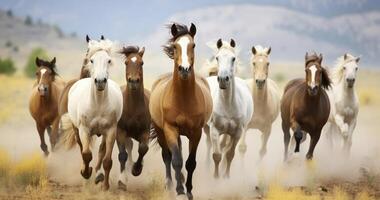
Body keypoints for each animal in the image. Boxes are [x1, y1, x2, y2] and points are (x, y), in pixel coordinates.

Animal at [60, 36, 122, 190]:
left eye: (109, 60)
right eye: (92, 60)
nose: (100, 81)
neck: (98, 103)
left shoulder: (111, 131)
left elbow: (107, 160)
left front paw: (105, 186)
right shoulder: (85, 130)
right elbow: (87, 154)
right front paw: (86, 173)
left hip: (104, 134)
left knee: (101, 150)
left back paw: (99, 175)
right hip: (77, 130)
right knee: (82, 148)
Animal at [149, 23, 214, 198]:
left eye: (193, 45)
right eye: (175, 46)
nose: (184, 69)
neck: (183, 99)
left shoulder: (196, 132)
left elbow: (190, 162)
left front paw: (189, 190)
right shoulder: (170, 128)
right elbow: (176, 160)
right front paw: (179, 190)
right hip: (161, 131)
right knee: (167, 156)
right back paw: (170, 184)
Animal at [203, 39, 254, 178]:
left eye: (233, 58)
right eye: (217, 57)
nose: (222, 79)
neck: (228, 105)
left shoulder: (237, 133)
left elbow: (230, 154)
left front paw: (226, 176)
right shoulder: (214, 130)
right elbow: (216, 155)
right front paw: (215, 177)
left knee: (224, 147)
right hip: (206, 128)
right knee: (209, 145)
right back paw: (207, 167)